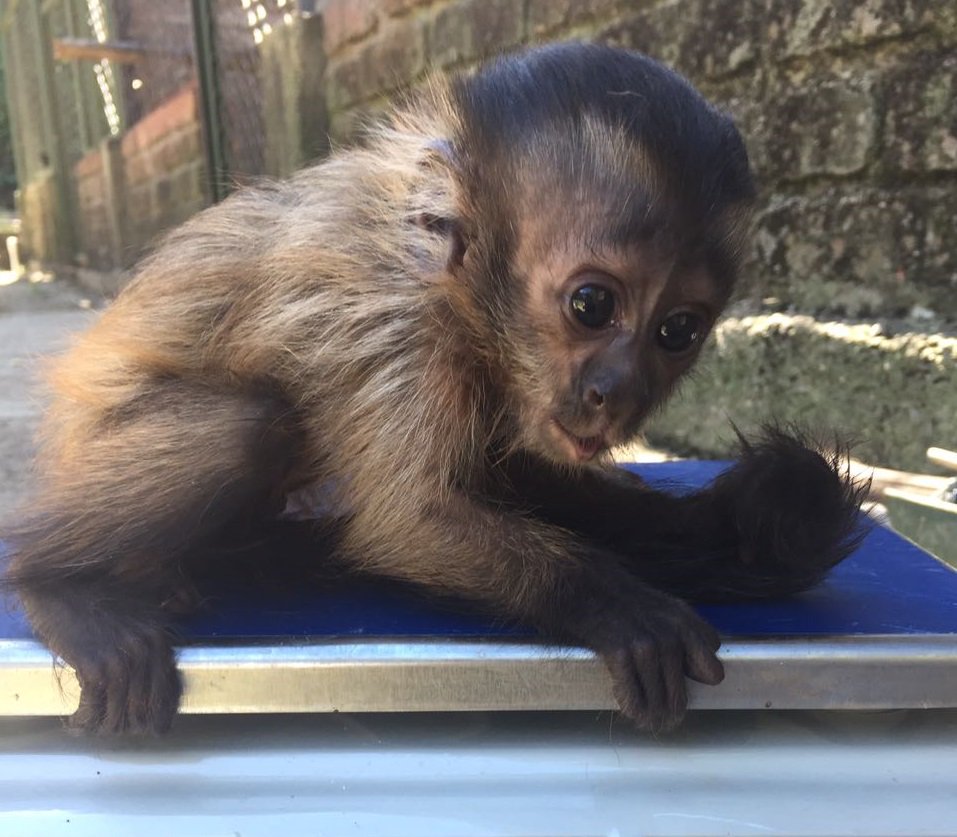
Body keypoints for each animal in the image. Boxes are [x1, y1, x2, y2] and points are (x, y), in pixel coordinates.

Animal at [1, 42, 864, 735]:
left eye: (677, 330)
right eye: (591, 305)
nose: (618, 390)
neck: (460, 300)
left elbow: (511, 477)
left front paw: (721, 527)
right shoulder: (396, 324)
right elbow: (406, 518)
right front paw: (616, 601)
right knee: (248, 427)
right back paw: (55, 582)